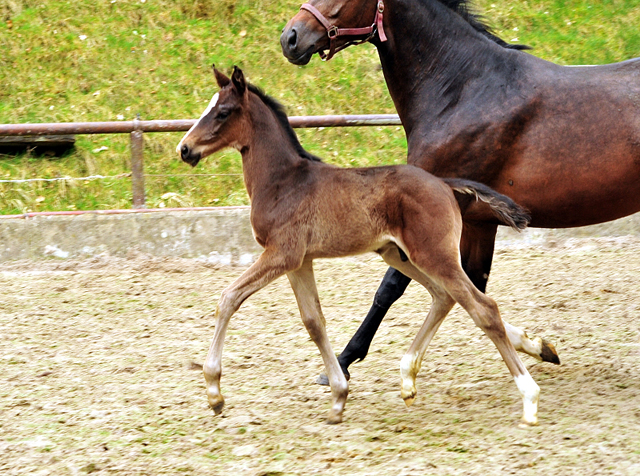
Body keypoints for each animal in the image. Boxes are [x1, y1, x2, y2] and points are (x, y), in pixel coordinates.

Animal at [176, 66, 540, 424]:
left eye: (223, 112)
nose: (184, 149)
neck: (284, 181)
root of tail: (444, 184)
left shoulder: (282, 254)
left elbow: (228, 299)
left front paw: (214, 393)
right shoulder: (299, 261)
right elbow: (314, 322)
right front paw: (338, 397)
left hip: (433, 255)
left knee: (483, 308)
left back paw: (529, 398)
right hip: (398, 254)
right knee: (444, 297)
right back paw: (408, 380)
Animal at [282, 0, 640, 382]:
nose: (290, 38)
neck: (461, 90)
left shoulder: (424, 216)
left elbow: (392, 287)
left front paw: (345, 361)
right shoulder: (480, 223)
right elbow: (471, 287)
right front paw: (539, 346)